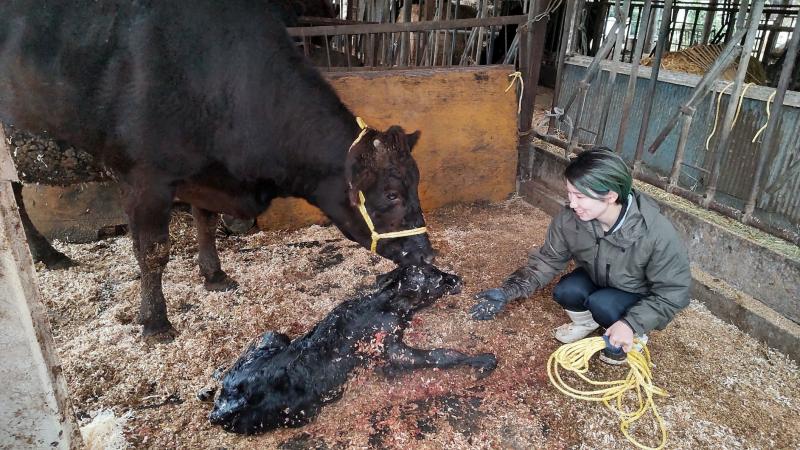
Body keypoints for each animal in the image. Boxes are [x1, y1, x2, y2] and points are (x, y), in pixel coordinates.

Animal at [0, 0, 434, 338]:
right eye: (392, 194)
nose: (426, 253)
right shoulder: (144, 179)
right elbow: (152, 252)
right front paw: (155, 322)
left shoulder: (205, 176)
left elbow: (205, 225)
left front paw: (214, 275)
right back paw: (46, 253)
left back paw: (45, 253)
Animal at [206, 266, 496, 434]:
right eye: (437, 279)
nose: (458, 279)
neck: (385, 302)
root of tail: (226, 406)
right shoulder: (388, 345)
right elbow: (439, 355)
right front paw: (484, 359)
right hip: (303, 412)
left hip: (272, 335)